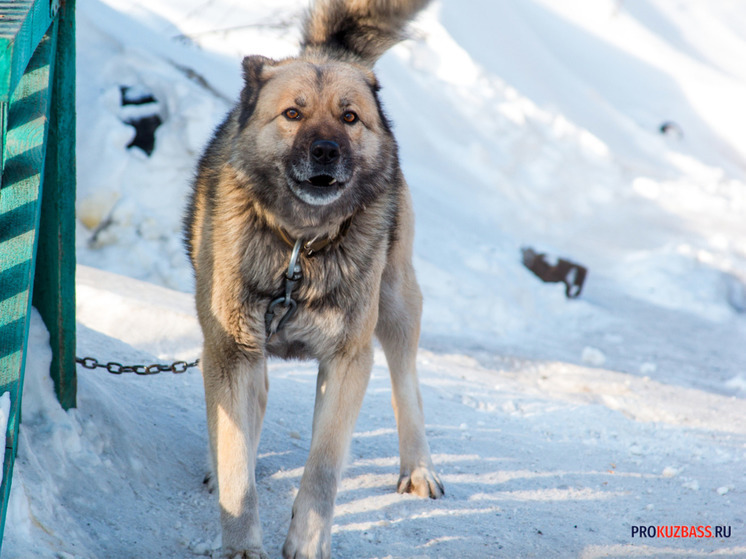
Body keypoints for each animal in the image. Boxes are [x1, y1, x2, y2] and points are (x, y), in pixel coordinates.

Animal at [185, 2, 442, 556]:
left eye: (349, 117)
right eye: (293, 113)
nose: (325, 150)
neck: (299, 250)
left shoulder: (347, 360)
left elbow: (323, 468)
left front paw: (306, 541)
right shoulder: (232, 350)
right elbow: (237, 461)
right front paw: (241, 543)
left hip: (395, 303)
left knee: (407, 384)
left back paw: (418, 468)